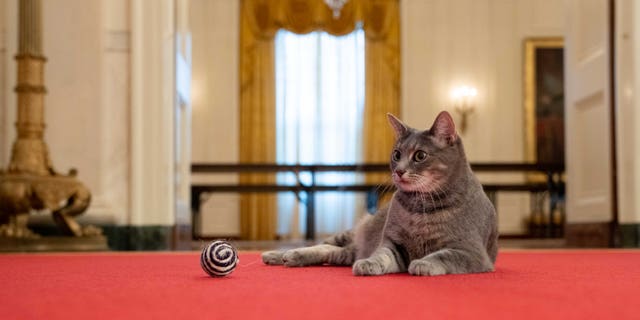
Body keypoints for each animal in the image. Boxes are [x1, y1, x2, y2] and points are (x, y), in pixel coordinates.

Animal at [262, 112, 498, 276]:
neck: (420, 207)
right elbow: (382, 255)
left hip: (347, 251)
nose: (399, 170)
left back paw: (291, 257)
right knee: (323, 244)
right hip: (350, 233)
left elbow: (444, 256)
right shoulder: (393, 243)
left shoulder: (470, 251)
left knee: (332, 250)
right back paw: (278, 254)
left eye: (420, 155)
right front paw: (370, 263)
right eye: (396, 154)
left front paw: (424, 263)